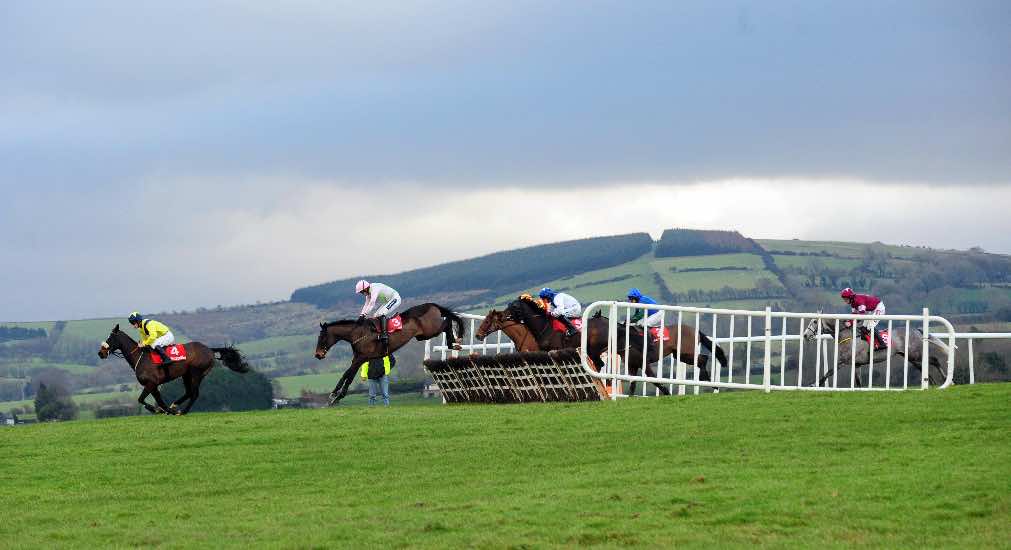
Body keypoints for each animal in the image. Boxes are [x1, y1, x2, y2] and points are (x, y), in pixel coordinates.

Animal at [96, 323, 250, 414]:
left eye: (110, 338)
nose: (100, 353)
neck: (140, 357)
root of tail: (209, 349)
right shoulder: (153, 385)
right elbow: (157, 400)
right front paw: (163, 409)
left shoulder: (151, 383)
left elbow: (142, 399)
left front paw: (159, 410)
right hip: (186, 375)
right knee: (189, 392)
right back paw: (175, 405)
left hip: (196, 373)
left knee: (194, 394)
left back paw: (182, 411)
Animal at [313, 303, 463, 406]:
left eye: (322, 337)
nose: (318, 354)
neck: (357, 333)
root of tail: (432, 305)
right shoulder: (357, 358)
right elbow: (346, 375)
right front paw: (335, 395)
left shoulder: (361, 358)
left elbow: (348, 376)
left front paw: (336, 396)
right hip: (423, 335)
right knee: (447, 321)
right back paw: (454, 342)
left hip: (431, 329)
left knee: (447, 322)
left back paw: (455, 341)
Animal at [800, 315, 950, 388]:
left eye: (814, 321)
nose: (805, 335)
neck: (848, 336)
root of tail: (916, 330)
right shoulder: (857, 364)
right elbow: (858, 381)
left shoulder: (844, 361)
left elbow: (829, 372)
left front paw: (814, 384)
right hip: (910, 356)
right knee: (924, 367)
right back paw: (933, 383)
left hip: (915, 354)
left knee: (934, 360)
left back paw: (945, 380)